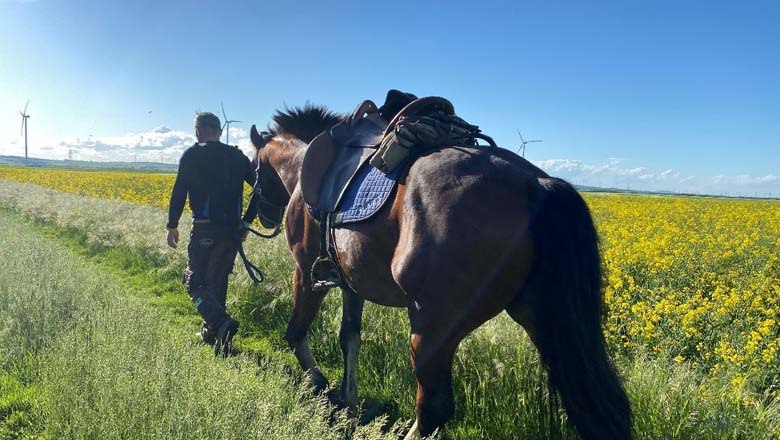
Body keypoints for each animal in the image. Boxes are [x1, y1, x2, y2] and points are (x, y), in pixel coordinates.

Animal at [250, 106, 632, 440]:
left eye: (253, 168)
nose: (263, 216)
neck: (304, 165)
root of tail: (537, 183)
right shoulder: (351, 283)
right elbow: (350, 339)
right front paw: (349, 401)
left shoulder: (306, 271)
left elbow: (296, 332)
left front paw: (321, 387)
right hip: (542, 318)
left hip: (432, 326)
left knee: (434, 409)